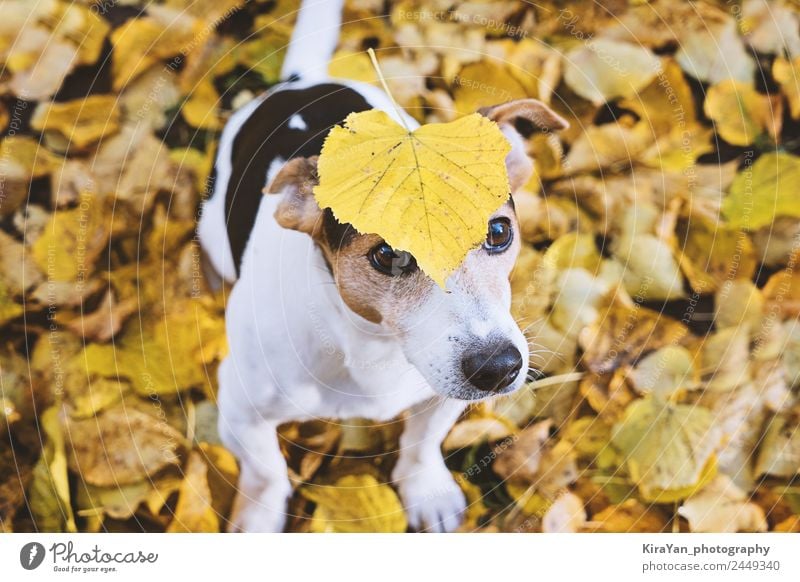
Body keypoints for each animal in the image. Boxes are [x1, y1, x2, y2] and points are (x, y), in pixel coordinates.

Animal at [199, 0, 568, 532]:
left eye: (498, 232)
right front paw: (259, 519)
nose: (498, 368)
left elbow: (422, 442)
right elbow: (266, 470)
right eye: (388, 254)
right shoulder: (240, 406)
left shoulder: (440, 394)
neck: (373, 348)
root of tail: (301, 82)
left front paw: (426, 490)